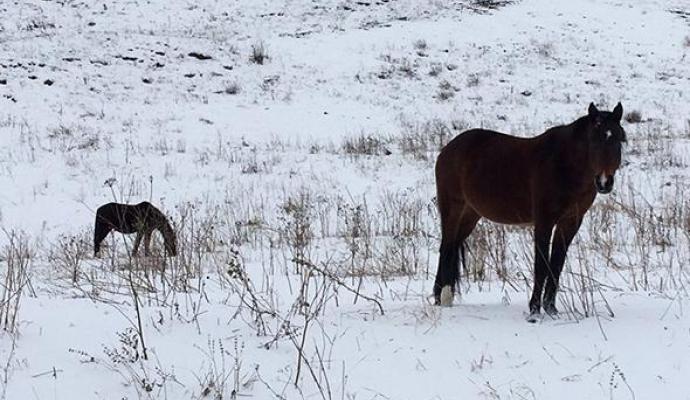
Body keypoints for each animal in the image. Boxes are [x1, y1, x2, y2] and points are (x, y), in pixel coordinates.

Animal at [436, 103, 624, 322]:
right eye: (594, 140)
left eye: (618, 140)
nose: (604, 182)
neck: (563, 165)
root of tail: (447, 150)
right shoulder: (544, 221)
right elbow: (541, 265)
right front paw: (534, 310)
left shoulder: (570, 222)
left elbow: (556, 265)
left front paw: (551, 309)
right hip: (453, 210)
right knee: (447, 248)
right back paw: (444, 298)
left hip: (470, 215)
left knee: (451, 246)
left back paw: (440, 297)